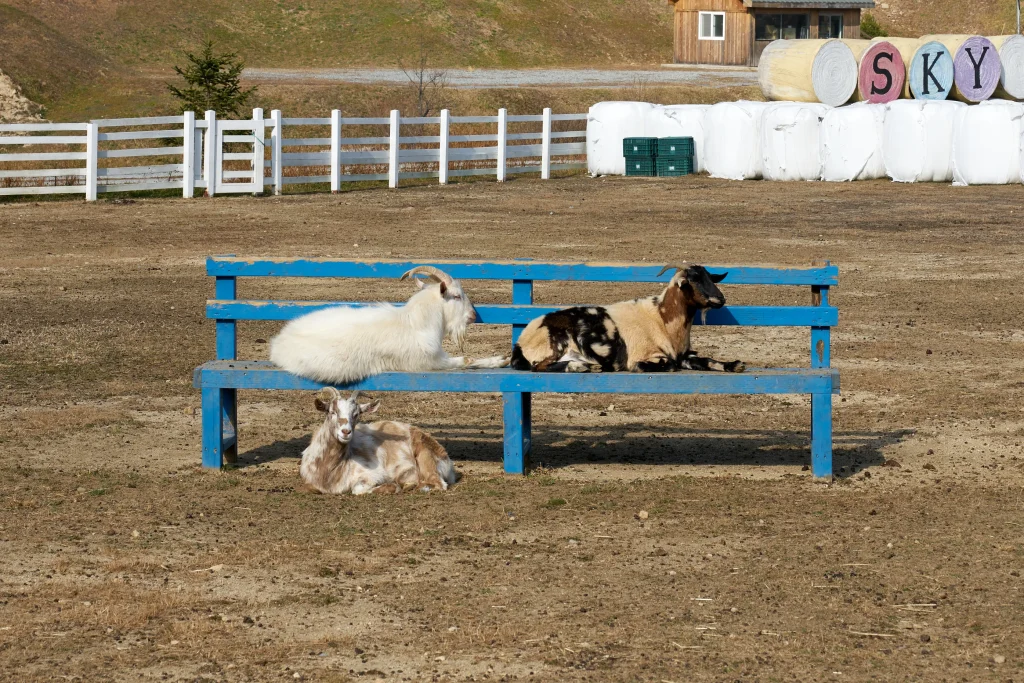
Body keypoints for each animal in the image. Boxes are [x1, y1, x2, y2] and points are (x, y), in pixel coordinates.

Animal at [270, 266, 509, 385]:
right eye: (458, 296)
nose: (473, 315)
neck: (417, 324)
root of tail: (278, 343)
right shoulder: (428, 362)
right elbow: (467, 360)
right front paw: (501, 360)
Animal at [299, 389, 460, 497]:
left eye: (356, 414)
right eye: (332, 412)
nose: (346, 432)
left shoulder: (372, 474)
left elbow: (357, 490)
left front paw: (392, 487)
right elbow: (307, 488)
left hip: (425, 457)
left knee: (439, 483)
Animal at [509, 264, 745, 374]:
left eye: (710, 277)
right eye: (693, 280)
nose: (720, 299)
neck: (661, 318)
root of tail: (520, 343)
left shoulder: (684, 355)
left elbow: (707, 360)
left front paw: (735, 365)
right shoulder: (643, 356)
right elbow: (666, 365)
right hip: (552, 345)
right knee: (538, 367)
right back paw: (581, 367)